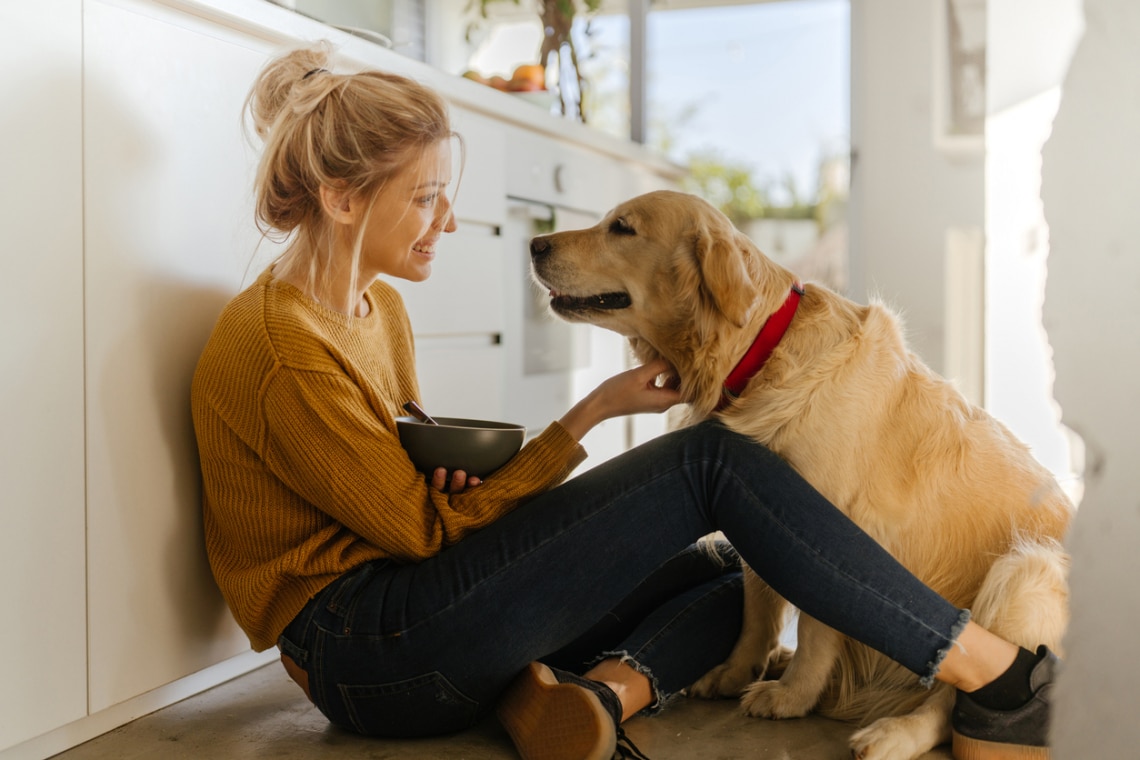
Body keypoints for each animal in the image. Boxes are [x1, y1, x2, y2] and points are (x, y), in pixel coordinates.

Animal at [528, 190, 1071, 760]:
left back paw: (892, 733)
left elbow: (815, 627)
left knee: (952, 702)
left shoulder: (833, 517)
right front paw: (737, 671)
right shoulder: (753, 494)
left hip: (1025, 570)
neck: (761, 355)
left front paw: (792, 697)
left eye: (622, 228)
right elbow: (756, 609)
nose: (535, 243)